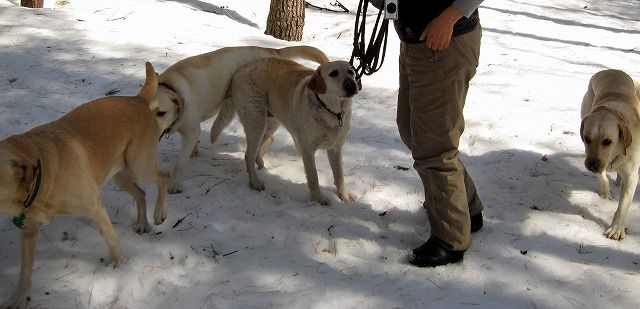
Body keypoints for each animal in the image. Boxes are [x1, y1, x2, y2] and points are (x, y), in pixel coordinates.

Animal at [0, 62, 169, 306]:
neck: (44, 174)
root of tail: (137, 99)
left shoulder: (94, 207)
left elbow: (111, 238)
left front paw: (119, 264)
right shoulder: (28, 231)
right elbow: (24, 272)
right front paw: (19, 298)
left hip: (140, 165)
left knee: (163, 176)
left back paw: (159, 213)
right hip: (120, 175)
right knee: (140, 193)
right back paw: (142, 223)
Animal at [152, 44, 328, 194]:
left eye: (162, 113)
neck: (172, 86)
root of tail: (273, 50)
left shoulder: (192, 131)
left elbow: (180, 162)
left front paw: (175, 184)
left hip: (262, 117)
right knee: (267, 140)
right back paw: (259, 161)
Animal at [210, 56, 360, 206]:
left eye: (351, 71)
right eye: (333, 73)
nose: (352, 85)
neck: (332, 112)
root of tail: (239, 71)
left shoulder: (336, 148)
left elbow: (339, 176)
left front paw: (344, 196)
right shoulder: (307, 150)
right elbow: (314, 178)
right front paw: (318, 199)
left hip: (270, 124)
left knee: (259, 148)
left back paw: (259, 166)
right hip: (256, 122)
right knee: (248, 155)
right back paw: (255, 182)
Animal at [580, 68, 640, 239]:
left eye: (607, 141)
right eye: (587, 139)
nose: (592, 165)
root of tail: (611, 70)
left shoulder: (632, 175)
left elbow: (623, 205)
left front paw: (616, 229)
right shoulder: (595, 158)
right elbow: (603, 176)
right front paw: (605, 193)